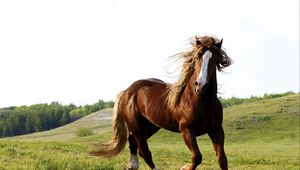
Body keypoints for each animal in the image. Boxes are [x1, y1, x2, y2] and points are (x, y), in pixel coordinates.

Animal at [90, 35, 233, 169]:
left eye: (214, 60)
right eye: (197, 57)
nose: (200, 85)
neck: (202, 101)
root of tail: (126, 92)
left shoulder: (216, 129)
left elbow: (222, 160)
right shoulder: (186, 129)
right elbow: (197, 157)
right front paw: (184, 167)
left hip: (150, 126)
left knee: (133, 143)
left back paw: (132, 165)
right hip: (138, 127)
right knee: (144, 152)